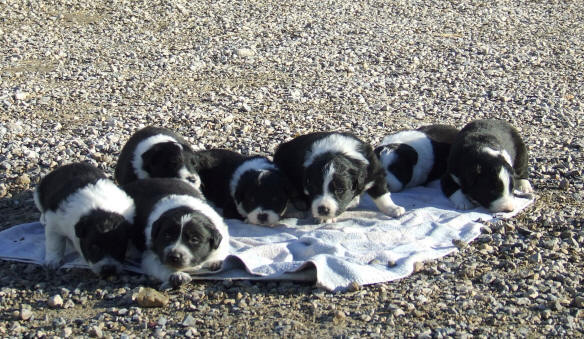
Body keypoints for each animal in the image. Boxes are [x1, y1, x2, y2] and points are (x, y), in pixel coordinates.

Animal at [272, 131, 402, 224]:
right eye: (314, 189)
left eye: (339, 190)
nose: (323, 209)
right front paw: (324, 218)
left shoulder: (374, 171)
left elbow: (382, 194)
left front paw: (393, 208)